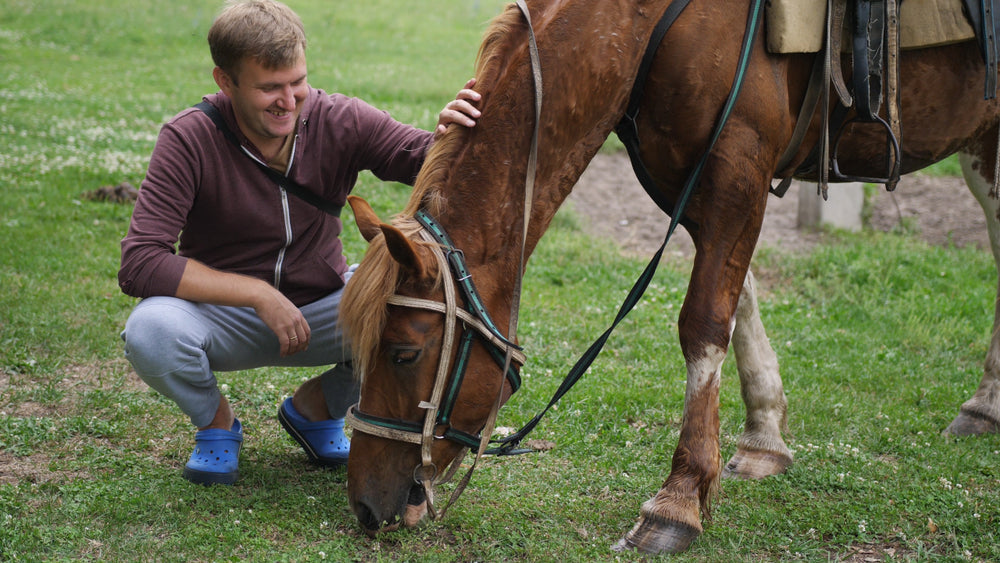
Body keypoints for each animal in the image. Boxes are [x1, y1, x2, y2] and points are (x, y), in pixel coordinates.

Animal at [339, 0, 1000, 554]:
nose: (366, 506)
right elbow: (739, 296)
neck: (652, 19)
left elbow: (705, 322)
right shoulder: (693, 179)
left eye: (402, 353)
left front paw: (678, 500)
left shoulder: (737, 162)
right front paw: (763, 437)